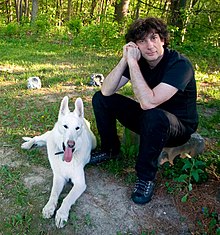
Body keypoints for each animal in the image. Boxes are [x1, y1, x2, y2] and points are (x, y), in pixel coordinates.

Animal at [21, 96, 96, 228]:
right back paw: (28, 144)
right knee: (37, 138)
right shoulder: (59, 177)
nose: (71, 144)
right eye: (65, 126)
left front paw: (61, 214)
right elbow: (54, 193)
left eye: (77, 128)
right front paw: (49, 207)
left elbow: (68, 198)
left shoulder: (80, 183)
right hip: (48, 136)